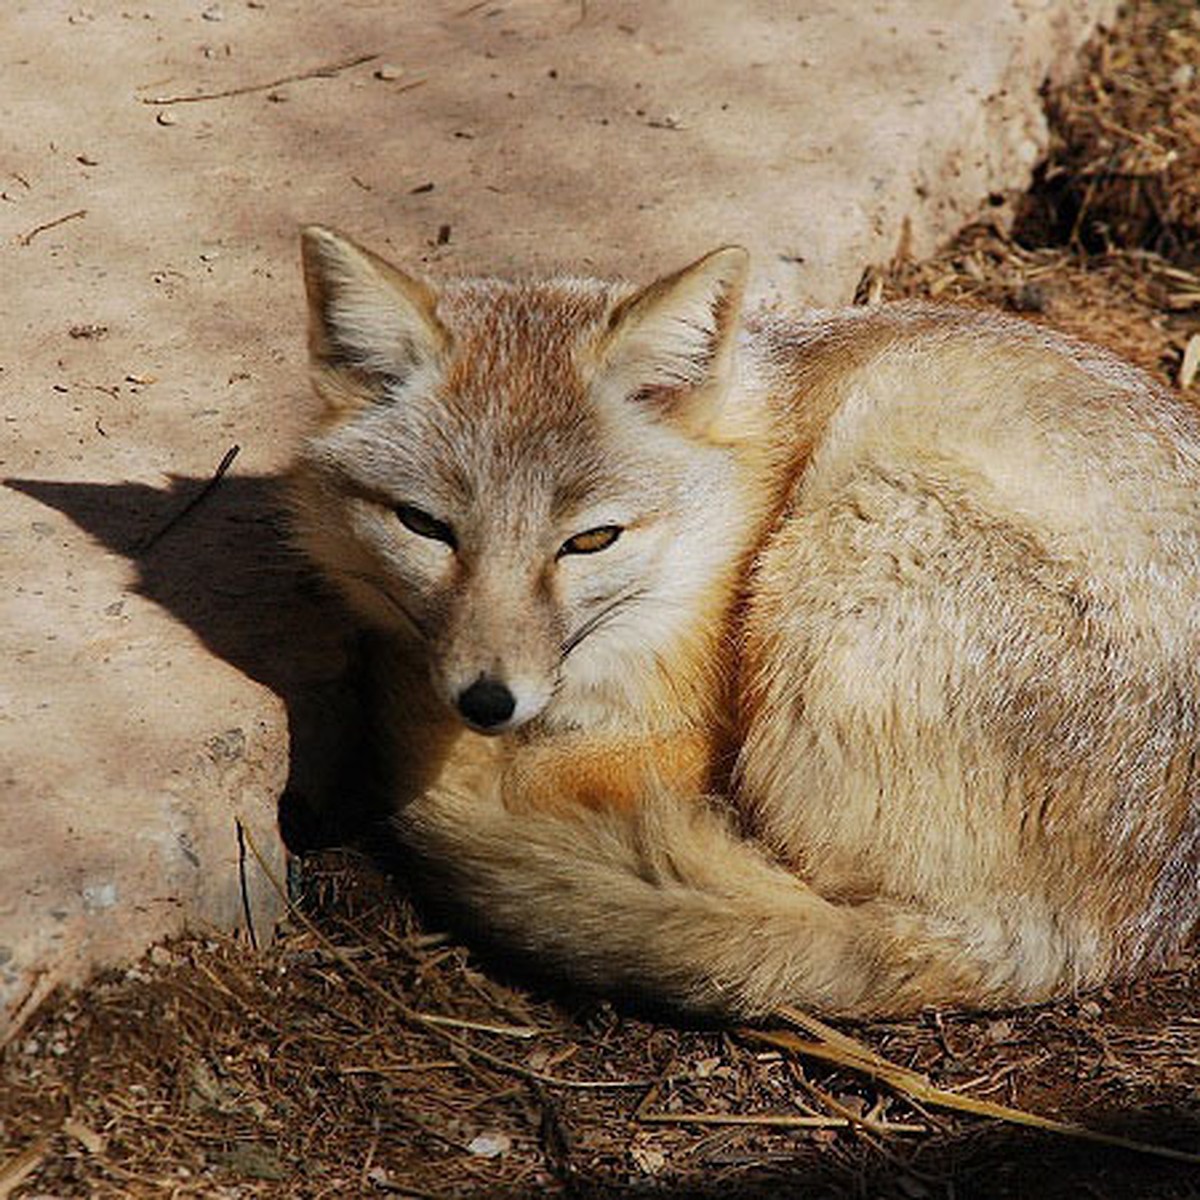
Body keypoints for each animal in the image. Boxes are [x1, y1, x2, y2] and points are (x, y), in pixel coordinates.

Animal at [288, 226, 1200, 1022]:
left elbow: (548, 773)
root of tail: (1089, 935)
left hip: (848, 537)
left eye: (590, 540)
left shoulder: (709, 720)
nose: (485, 702)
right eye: (426, 527)